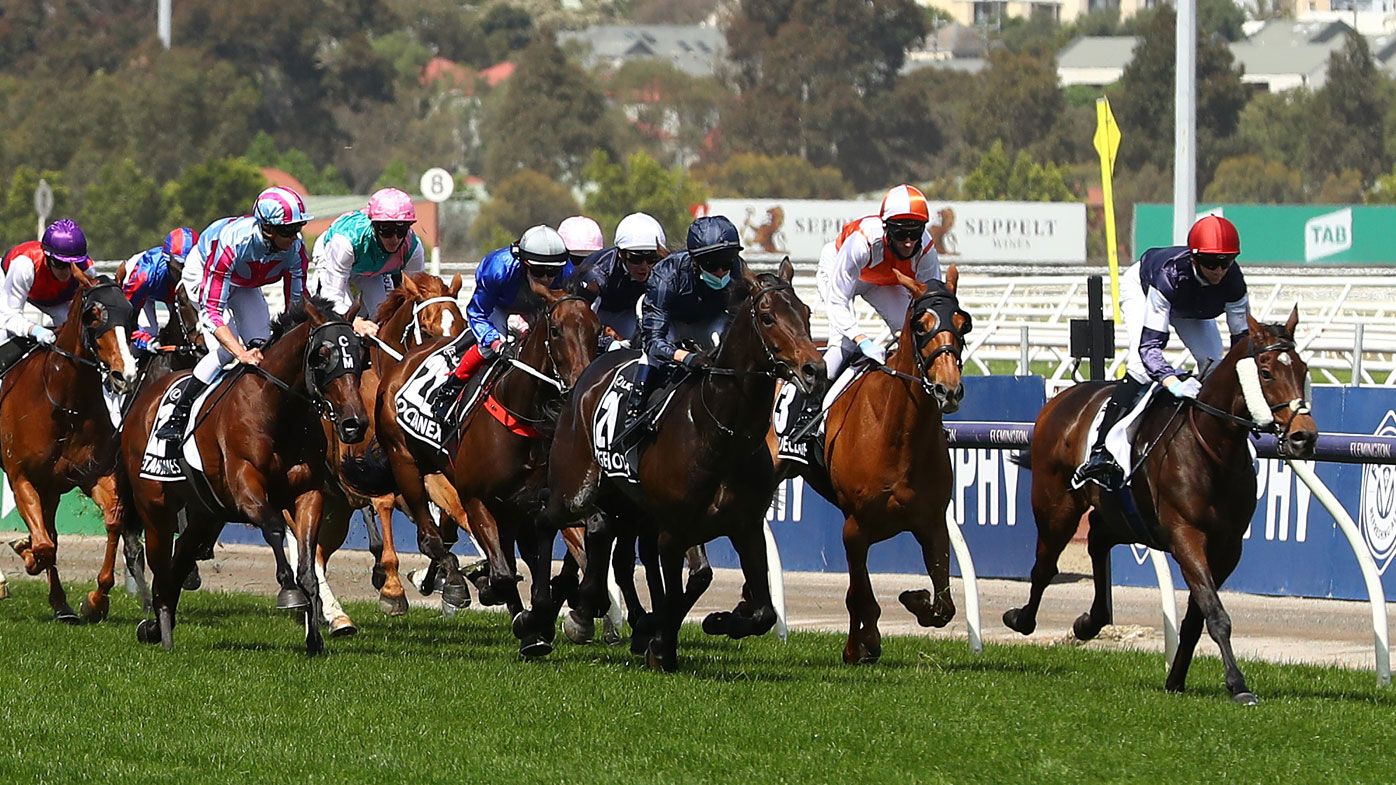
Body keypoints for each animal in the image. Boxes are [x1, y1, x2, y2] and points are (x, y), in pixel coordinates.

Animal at [0, 277, 139, 620]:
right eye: (93, 315)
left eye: (130, 313)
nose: (126, 374)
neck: (64, 404)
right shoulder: (20, 478)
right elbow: (44, 547)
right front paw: (26, 551)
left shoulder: (92, 473)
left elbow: (113, 522)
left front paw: (95, 601)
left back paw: (60, 604)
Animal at [120, 296, 371, 650]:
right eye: (322, 356)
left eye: (361, 356)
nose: (354, 423)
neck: (278, 412)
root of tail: (141, 403)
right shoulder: (245, 487)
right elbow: (274, 527)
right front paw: (289, 592)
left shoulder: (309, 493)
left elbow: (308, 561)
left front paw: (315, 638)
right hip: (154, 506)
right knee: (158, 561)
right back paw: (161, 628)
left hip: (206, 514)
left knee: (180, 560)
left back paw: (158, 624)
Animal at [530, 261, 815, 664]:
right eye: (768, 317)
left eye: (806, 313)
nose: (813, 369)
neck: (721, 431)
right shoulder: (676, 528)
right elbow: (681, 585)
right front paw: (661, 643)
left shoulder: (744, 526)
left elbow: (758, 609)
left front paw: (716, 621)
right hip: (574, 486)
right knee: (548, 522)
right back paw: (540, 622)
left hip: (628, 504)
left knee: (611, 545)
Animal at [781, 265, 977, 662]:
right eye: (921, 324)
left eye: (963, 323)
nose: (948, 389)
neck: (898, 433)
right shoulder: (854, 528)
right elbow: (859, 594)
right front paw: (861, 644)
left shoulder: (932, 524)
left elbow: (943, 606)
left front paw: (914, 598)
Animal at [1005, 308, 1317, 698]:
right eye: (1266, 372)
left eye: (1303, 369)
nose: (1304, 437)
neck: (1213, 449)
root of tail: (1063, 397)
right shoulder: (1186, 535)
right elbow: (1216, 614)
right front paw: (1238, 684)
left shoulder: (1228, 547)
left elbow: (1198, 616)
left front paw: (1176, 678)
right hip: (1056, 508)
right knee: (1045, 566)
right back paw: (1021, 618)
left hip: (1124, 514)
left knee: (1097, 539)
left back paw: (1091, 621)